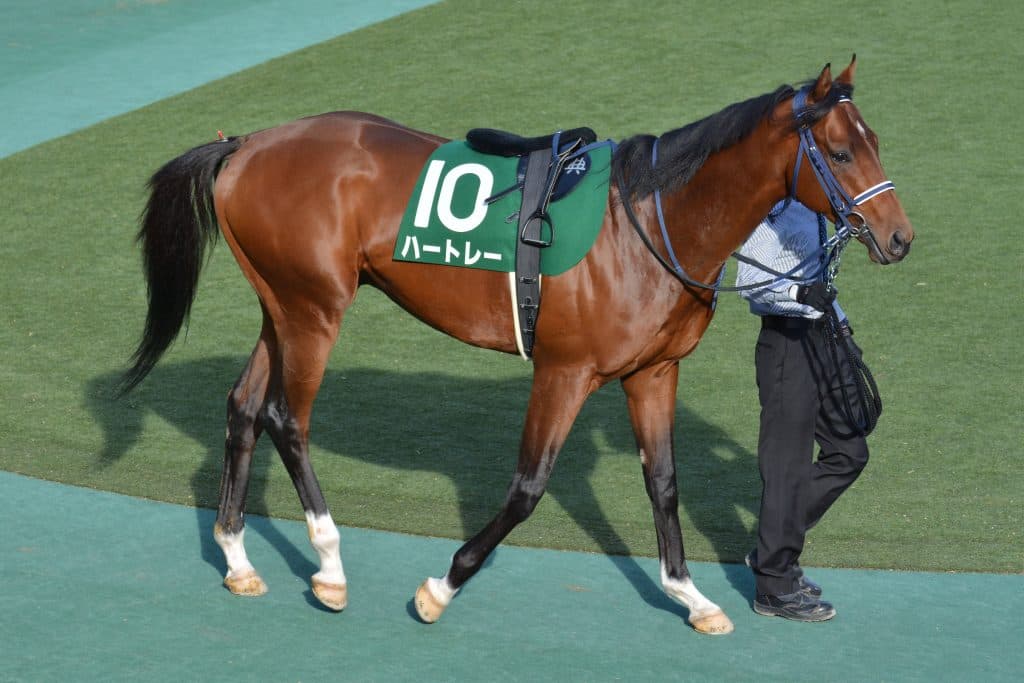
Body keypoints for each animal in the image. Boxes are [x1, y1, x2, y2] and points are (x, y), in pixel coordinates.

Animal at [122, 57, 913, 635]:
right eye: (840, 150)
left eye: (876, 142)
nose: (900, 237)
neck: (651, 217)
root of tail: (244, 144)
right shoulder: (565, 370)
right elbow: (529, 485)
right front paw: (441, 585)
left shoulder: (653, 371)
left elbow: (664, 482)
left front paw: (691, 595)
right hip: (315, 311)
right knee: (289, 419)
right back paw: (330, 566)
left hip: (283, 306)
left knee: (244, 407)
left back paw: (236, 556)